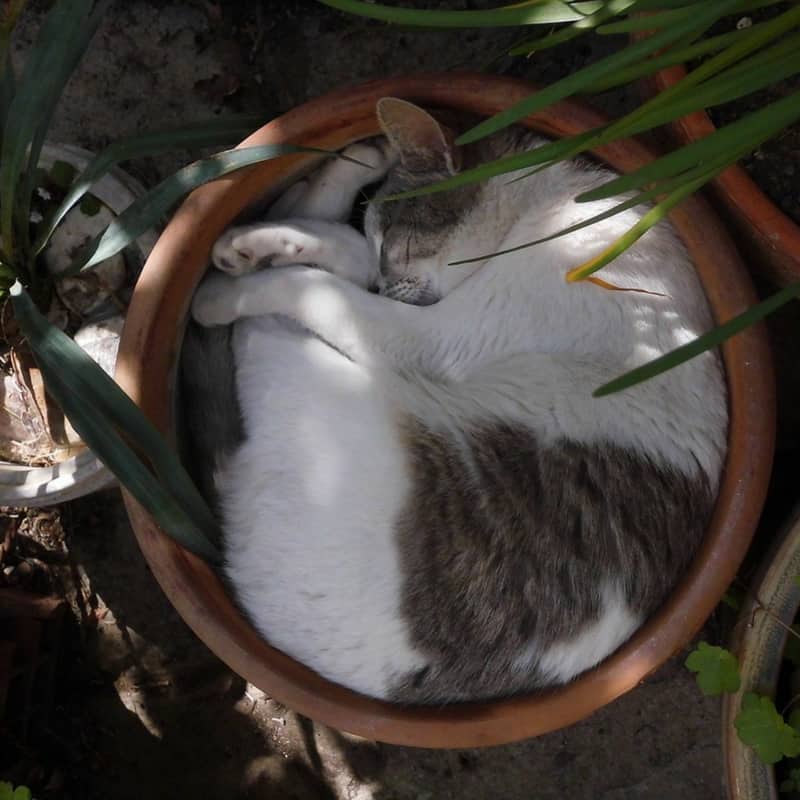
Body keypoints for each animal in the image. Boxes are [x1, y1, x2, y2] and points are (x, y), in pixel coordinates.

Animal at [184, 97, 728, 704]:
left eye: (397, 243)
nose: (384, 285)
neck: (554, 207)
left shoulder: (435, 337)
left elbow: (317, 287)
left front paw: (236, 283)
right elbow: (347, 254)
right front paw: (277, 239)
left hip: (320, 397)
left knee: (264, 324)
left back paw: (227, 281)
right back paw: (325, 183)